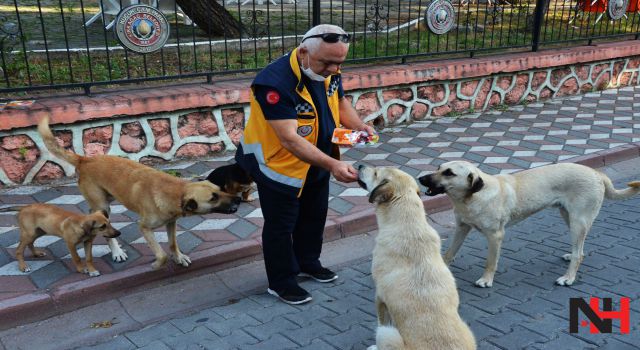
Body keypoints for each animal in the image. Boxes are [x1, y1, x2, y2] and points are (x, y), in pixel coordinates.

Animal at [39, 116, 240, 270]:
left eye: (219, 190)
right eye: (213, 198)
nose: (238, 199)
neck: (176, 191)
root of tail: (85, 160)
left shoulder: (171, 222)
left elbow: (173, 243)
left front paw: (178, 257)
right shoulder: (144, 227)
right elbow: (161, 254)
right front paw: (157, 264)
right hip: (103, 205)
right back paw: (116, 251)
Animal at [360, 165, 476, 350]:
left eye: (376, 173)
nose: (359, 166)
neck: (408, 223)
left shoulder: (379, 298)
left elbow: (380, 321)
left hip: (387, 334)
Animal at [420, 161, 640, 288]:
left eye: (449, 173)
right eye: (438, 168)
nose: (420, 178)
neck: (472, 197)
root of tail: (597, 174)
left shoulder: (495, 236)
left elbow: (490, 262)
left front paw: (486, 280)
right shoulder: (461, 228)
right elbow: (449, 254)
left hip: (579, 221)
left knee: (579, 253)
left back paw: (568, 277)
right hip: (569, 217)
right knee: (580, 249)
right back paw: (571, 257)